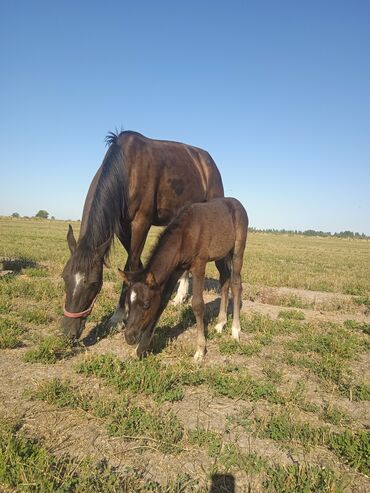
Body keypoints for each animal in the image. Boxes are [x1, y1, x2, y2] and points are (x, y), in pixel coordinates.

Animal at [60, 131, 223, 338]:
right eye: (64, 277)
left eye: (93, 284)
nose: (68, 333)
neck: (128, 170)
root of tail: (208, 161)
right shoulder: (122, 226)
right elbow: (135, 264)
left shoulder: (141, 222)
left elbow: (130, 262)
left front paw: (117, 317)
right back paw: (180, 296)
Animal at [118, 196, 249, 362]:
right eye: (127, 303)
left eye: (146, 304)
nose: (129, 337)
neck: (184, 235)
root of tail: (238, 203)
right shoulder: (176, 269)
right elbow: (163, 301)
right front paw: (140, 349)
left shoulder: (199, 264)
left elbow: (198, 304)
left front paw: (200, 349)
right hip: (221, 254)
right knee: (225, 280)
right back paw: (220, 323)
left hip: (238, 249)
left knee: (236, 283)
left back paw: (235, 330)